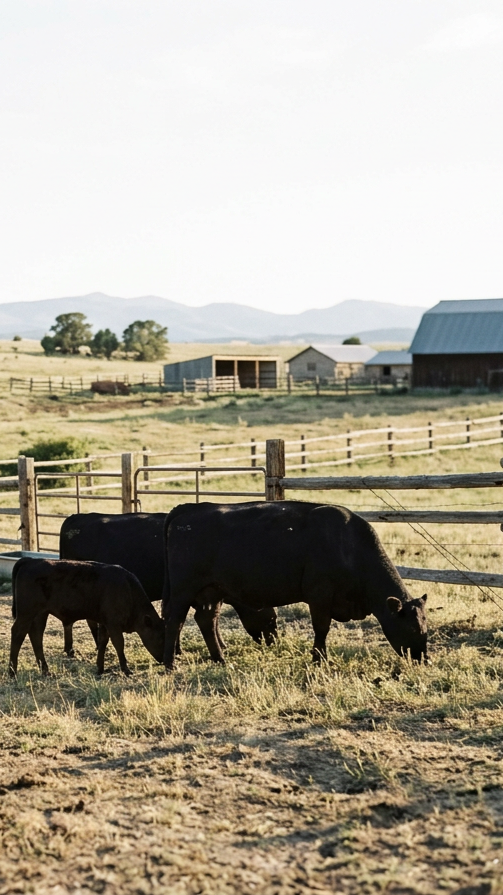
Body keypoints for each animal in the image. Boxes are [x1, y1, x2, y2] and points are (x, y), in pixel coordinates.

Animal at [9, 557, 165, 677]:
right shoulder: (113, 624)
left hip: (41, 614)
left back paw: (45, 670)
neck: (127, 589)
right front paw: (126, 670)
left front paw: (100, 668)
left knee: (36, 636)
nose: (164, 659)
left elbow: (102, 642)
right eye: (159, 637)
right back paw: (12, 672)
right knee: (18, 633)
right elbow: (119, 644)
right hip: (26, 613)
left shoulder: (105, 623)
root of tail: (30, 560)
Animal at [162, 501, 428, 670]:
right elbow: (321, 628)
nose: (424, 660)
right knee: (174, 621)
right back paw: (170, 663)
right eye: (413, 628)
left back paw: (220, 659)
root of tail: (188, 509)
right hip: (182, 591)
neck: (348, 546)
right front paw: (319, 659)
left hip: (212, 592)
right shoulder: (319, 596)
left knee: (206, 621)